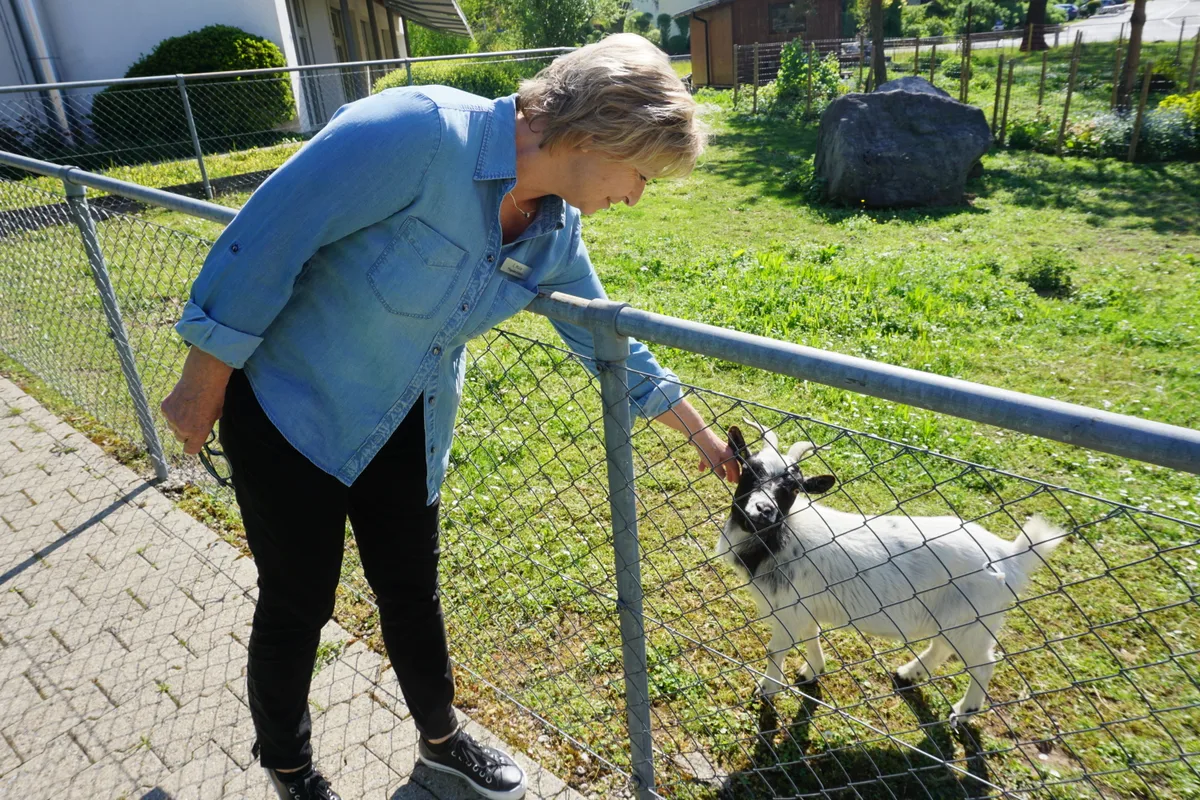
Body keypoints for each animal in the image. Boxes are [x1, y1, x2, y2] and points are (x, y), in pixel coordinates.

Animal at [716, 423, 1065, 724]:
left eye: (793, 488)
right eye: (750, 470)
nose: (764, 511)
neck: (781, 537)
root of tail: (1011, 556)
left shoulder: (788, 611)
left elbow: (775, 650)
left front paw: (767, 689)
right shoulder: (804, 607)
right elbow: (812, 636)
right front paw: (812, 671)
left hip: (974, 621)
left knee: (983, 665)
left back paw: (964, 712)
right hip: (955, 617)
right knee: (942, 647)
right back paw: (910, 673)